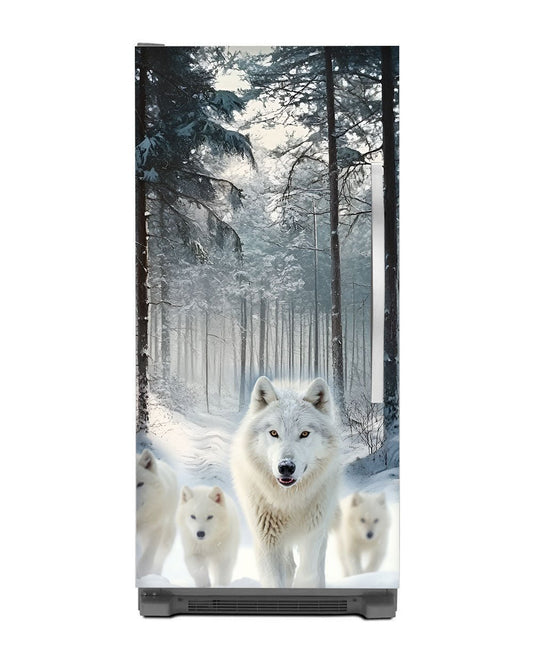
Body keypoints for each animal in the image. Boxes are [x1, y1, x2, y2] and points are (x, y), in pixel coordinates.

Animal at [231, 376, 341, 588]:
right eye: (274, 433)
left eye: (304, 434)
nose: (286, 467)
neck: (288, 500)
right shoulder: (266, 540)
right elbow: (275, 580)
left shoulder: (313, 533)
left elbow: (308, 573)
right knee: (289, 566)